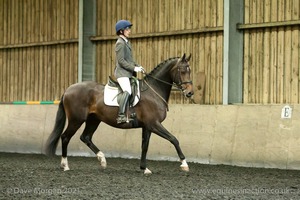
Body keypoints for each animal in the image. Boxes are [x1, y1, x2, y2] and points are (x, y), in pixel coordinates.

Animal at [44, 53, 195, 173]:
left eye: (190, 70)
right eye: (182, 71)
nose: (190, 93)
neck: (153, 91)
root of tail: (68, 89)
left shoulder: (147, 126)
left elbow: (145, 146)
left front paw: (144, 168)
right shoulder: (154, 124)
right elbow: (173, 139)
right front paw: (184, 164)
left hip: (94, 120)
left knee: (85, 137)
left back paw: (102, 160)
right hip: (76, 120)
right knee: (65, 137)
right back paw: (65, 165)